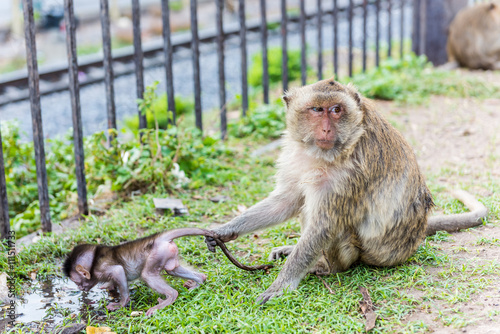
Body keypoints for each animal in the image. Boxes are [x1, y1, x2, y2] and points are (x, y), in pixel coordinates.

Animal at [64, 227, 272, 316]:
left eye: (77, 281)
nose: (81, 289)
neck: (94, 262)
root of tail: (158, 238)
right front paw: (109, 288)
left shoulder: (103, 268)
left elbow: (118, 271)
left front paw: (121, 303)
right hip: (167, 252)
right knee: (173, 270)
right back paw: (198, 282)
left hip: (158, 252)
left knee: (148, 276)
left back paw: (168, 298)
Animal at [205, 77, 486, 302]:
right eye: (317, 109)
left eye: (336, 110)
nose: (326, 128)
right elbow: (286, 202)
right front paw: (225, 231)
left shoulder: (350, 173)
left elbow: (325, 225)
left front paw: (282, 285)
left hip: (358, 253)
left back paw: (324, 266)